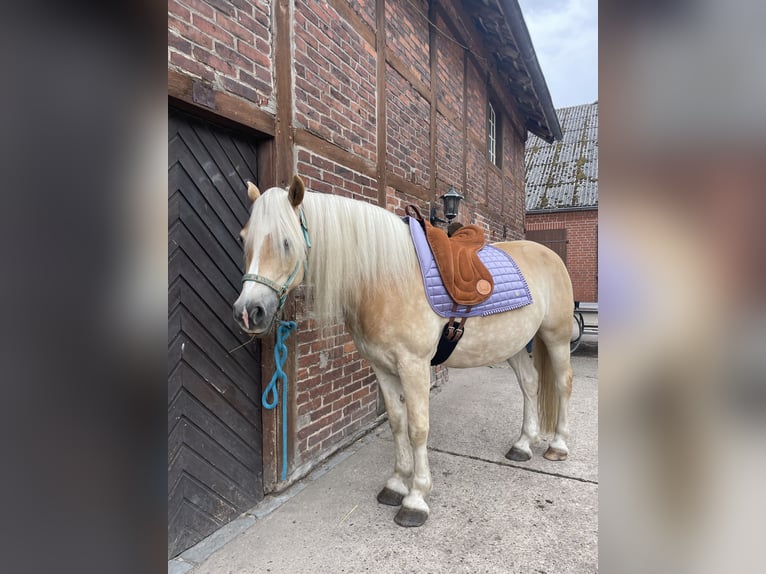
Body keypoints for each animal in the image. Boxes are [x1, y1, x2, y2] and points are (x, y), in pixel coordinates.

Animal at [234, 177, 576, 532]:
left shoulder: (414, 365)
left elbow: (418, 428)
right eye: (243, 238)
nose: (248, 312)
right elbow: (398, 423)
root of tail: (548, 254)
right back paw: (523, 444)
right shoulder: (381, 366)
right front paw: (397, 484)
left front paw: (416, 499)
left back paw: (558, 446)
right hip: (514, 344)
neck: (385, 277)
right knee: (530, 383)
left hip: (556, 336)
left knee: (562, 383)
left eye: (286, 242)